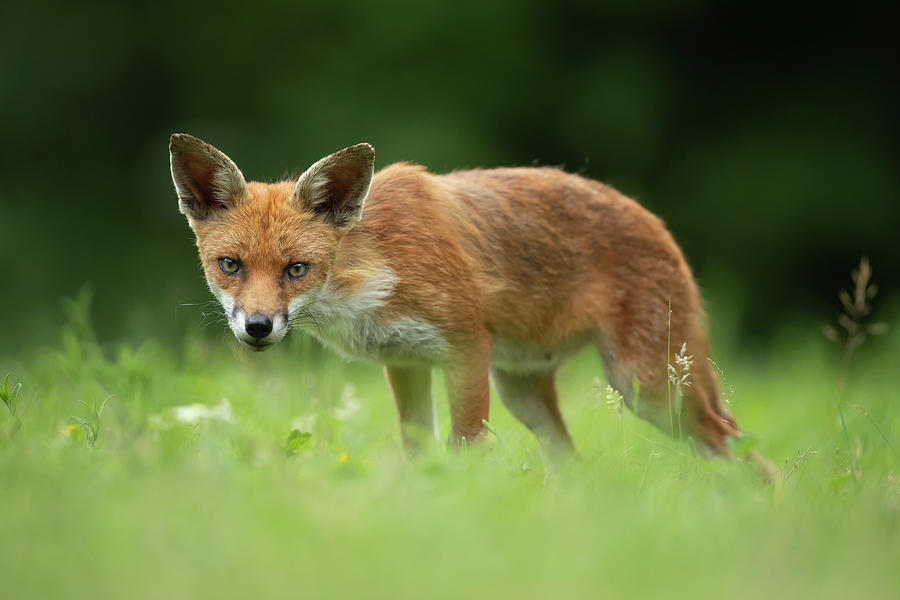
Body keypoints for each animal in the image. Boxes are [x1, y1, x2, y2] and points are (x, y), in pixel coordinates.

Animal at [169, 132, 772, 478]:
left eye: (296, 270)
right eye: (230, 265)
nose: (258, 327)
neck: (374, 275)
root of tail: (658, 223)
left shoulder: (465, 350)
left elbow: (463, 447)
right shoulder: (406, 364)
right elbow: (419, 450)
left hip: (648, 389)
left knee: (744, 457)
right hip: (524, 393)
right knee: (575, 466)